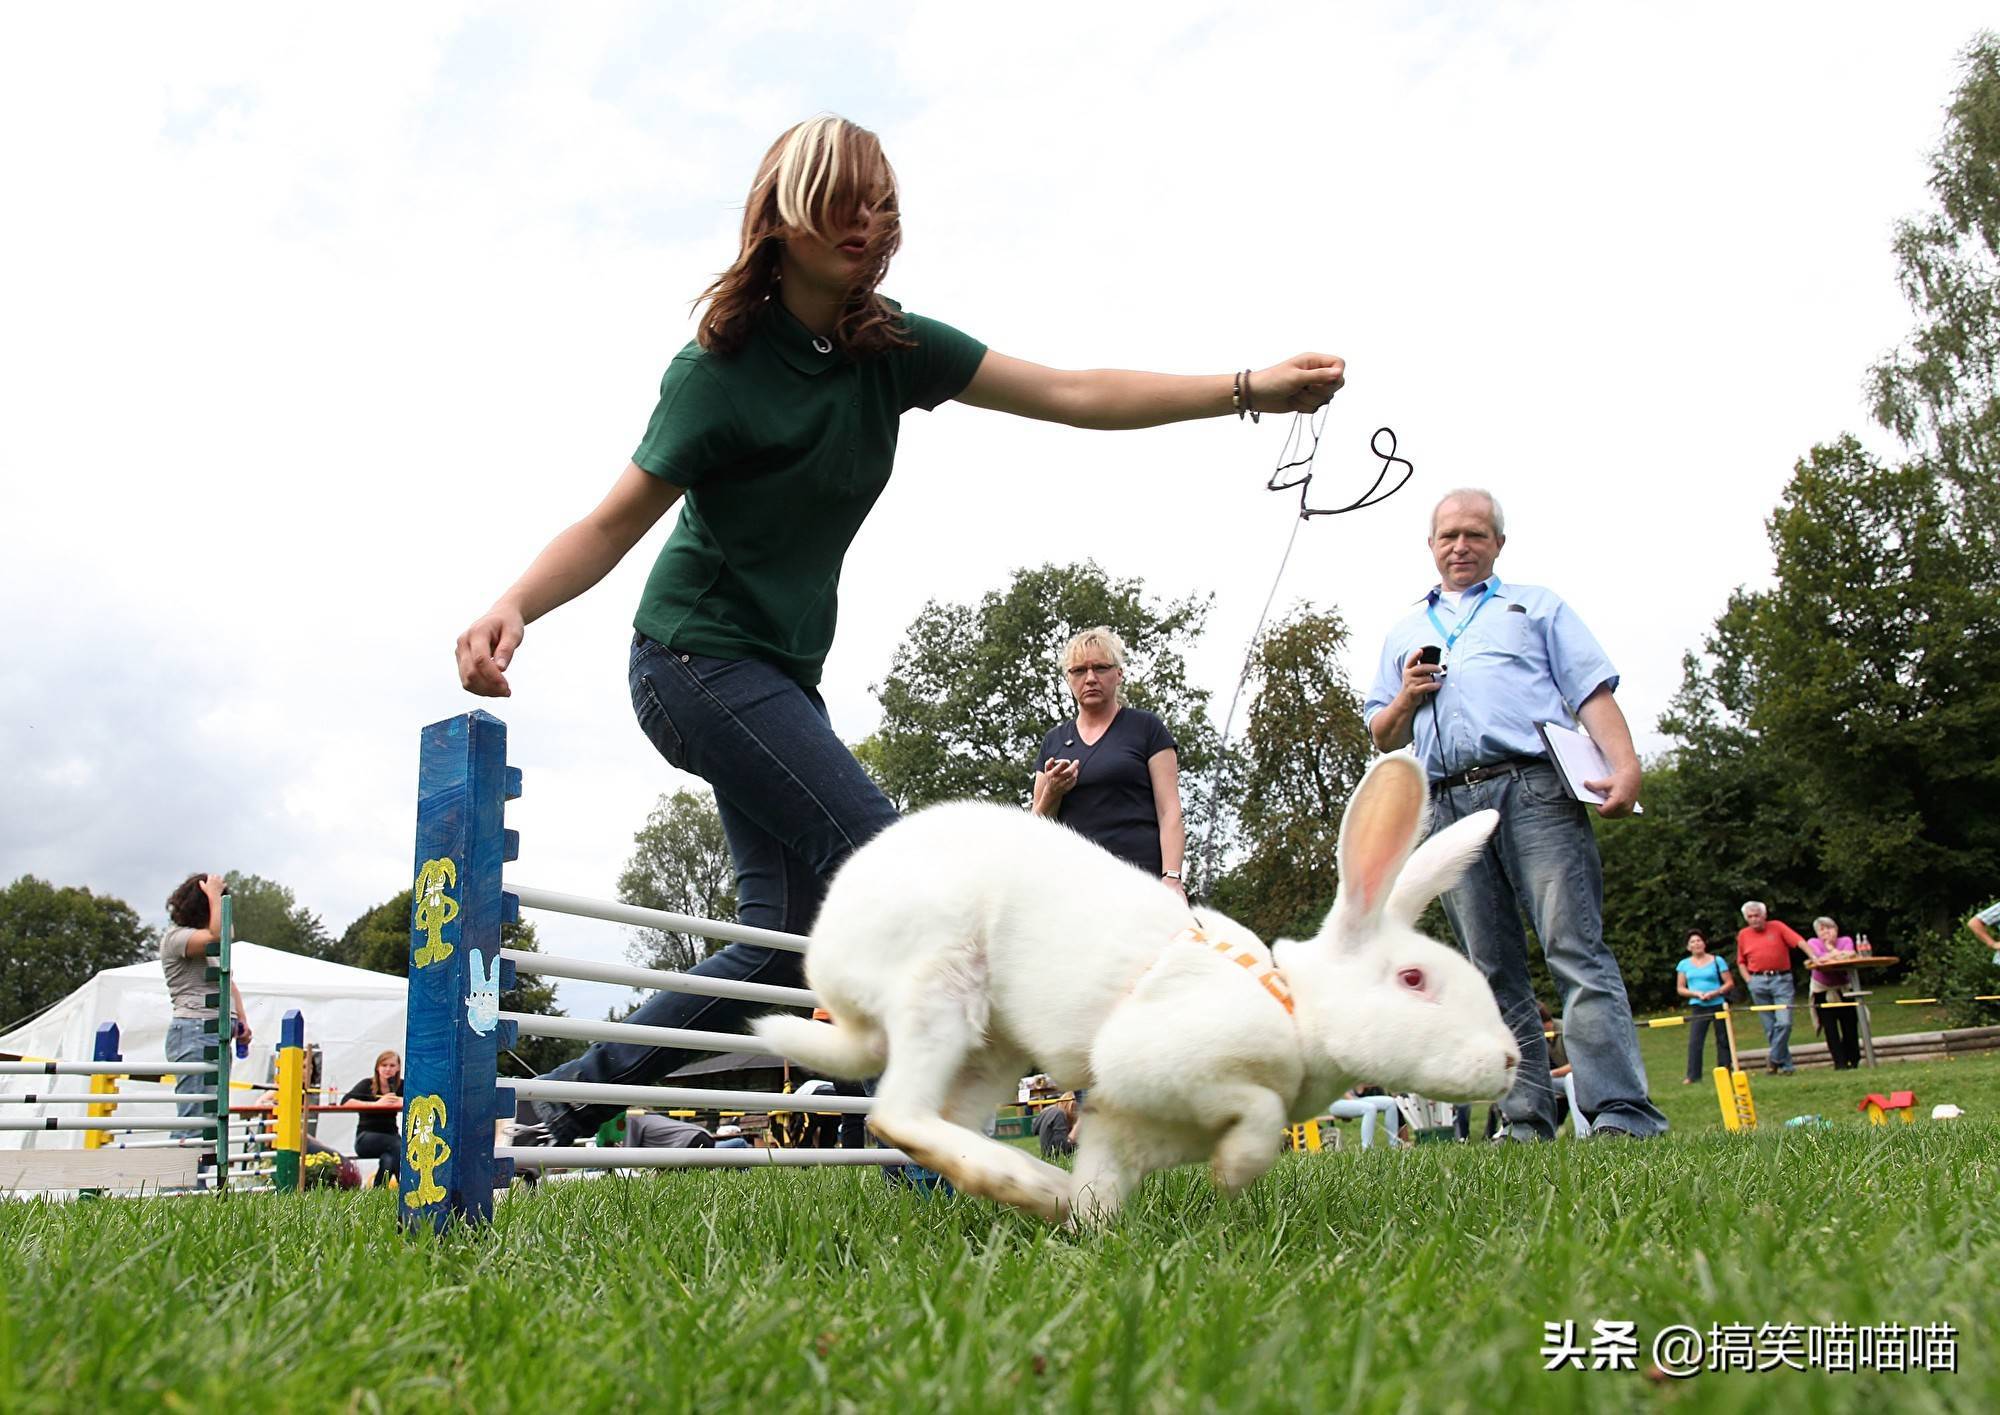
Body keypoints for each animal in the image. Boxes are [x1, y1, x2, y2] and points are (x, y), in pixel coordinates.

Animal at [752, 747, 1512, 1223]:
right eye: (1414, 979)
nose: (1509, 1061)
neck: (1291, 1005)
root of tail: (829, 967)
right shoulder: (1173, 1065)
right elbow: (1260, 1111)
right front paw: (1234, 1173)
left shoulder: (1128, 1129)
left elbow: (1103, 1189)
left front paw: (1087, 1226)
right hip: (938, 986)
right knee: (896, 1115)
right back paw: (1026, 1180)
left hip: (991, 1049)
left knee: (935, 1124)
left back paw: (1033, 1193)